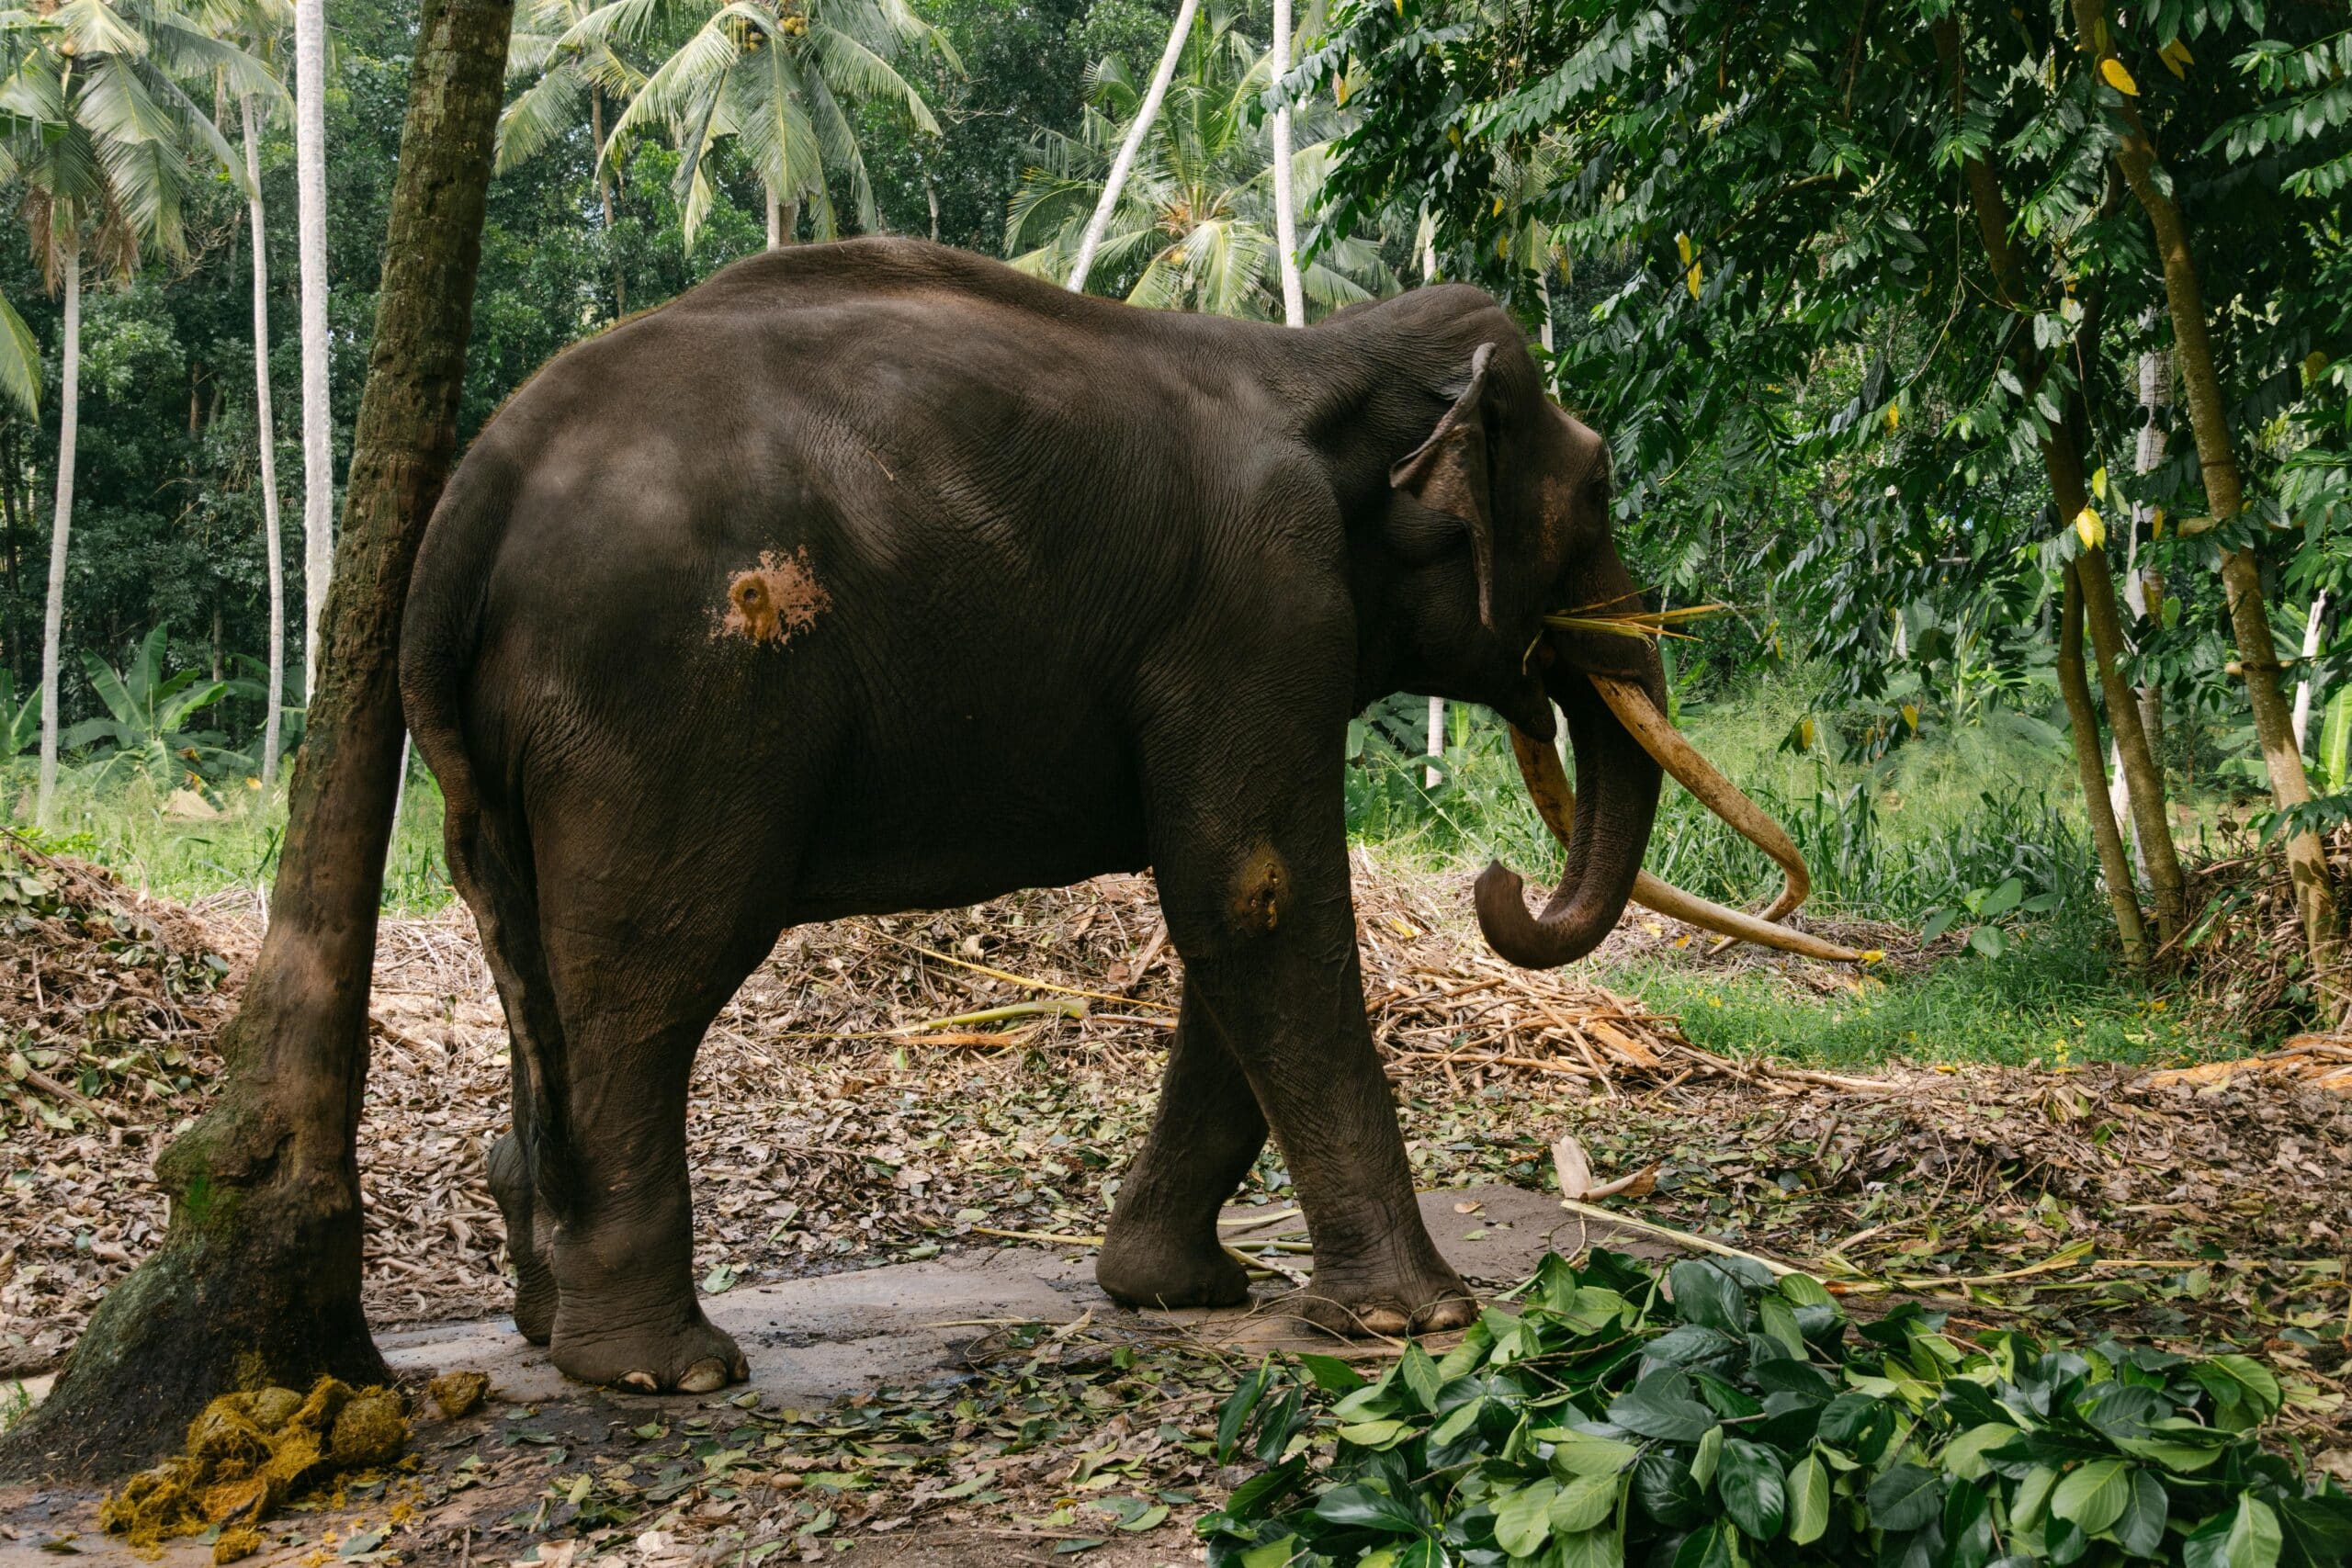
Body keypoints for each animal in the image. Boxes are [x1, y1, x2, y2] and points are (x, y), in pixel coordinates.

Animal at [400, 237, 1836, 1395]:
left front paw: (1173, 1291)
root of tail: (478, 489)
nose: (1501, 883)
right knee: (653, 975)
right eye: (1595, 493)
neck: (1322, 350)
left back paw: (544, 1318)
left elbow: (1233, 909)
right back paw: (664, 1371)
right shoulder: (1262, 595)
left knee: (538, 968)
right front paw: (1422, 1320)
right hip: (674, 702)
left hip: (525, 748)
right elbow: (1256, 891)